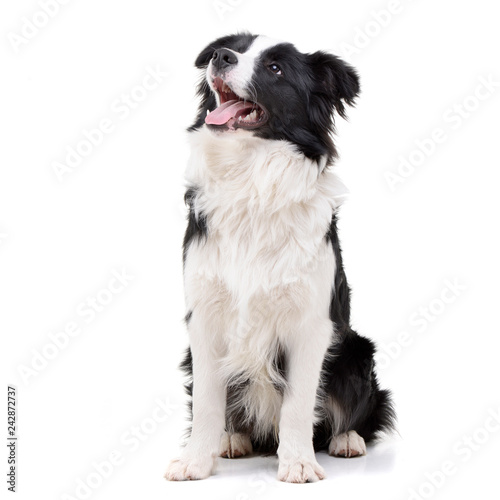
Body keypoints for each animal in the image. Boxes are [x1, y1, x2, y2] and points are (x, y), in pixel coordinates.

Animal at [166, 32, 396, 484]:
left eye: (275, 68)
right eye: (234, 48)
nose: (220, 56)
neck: (251, 177)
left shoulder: (311, 323)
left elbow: (298, 403)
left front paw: (299, 463)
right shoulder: (204, 316)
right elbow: (206, 401)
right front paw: (195, 461)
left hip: (357, 352)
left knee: (358, 413)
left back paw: (347, 439)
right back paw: (232, 439)